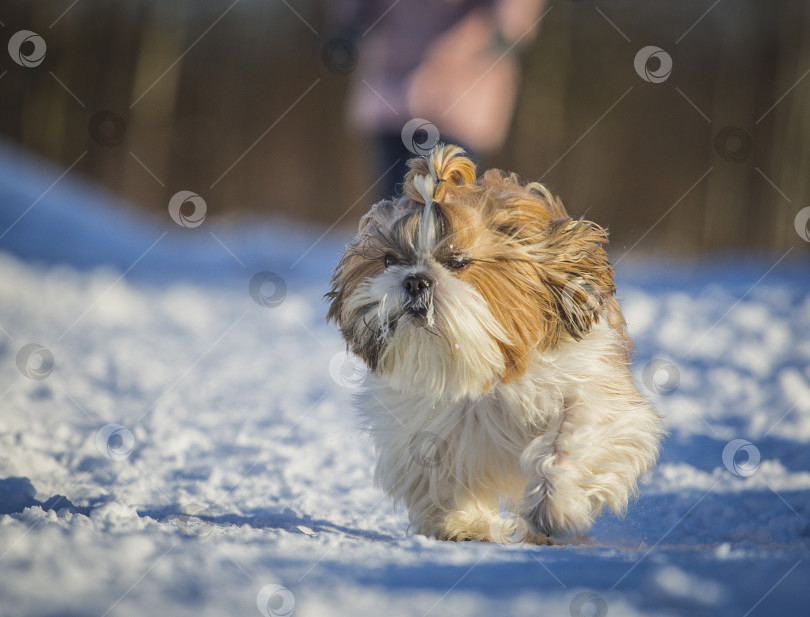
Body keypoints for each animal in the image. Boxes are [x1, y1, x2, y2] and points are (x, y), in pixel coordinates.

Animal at [326, 142, 660, 540]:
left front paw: (555, 506)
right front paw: (462, 522)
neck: (487, 371)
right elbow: (441, 469)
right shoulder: (425, 421)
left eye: (457, 261)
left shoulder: (591, 386)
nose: (416, 280)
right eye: (390, 259)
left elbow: (572, 438)